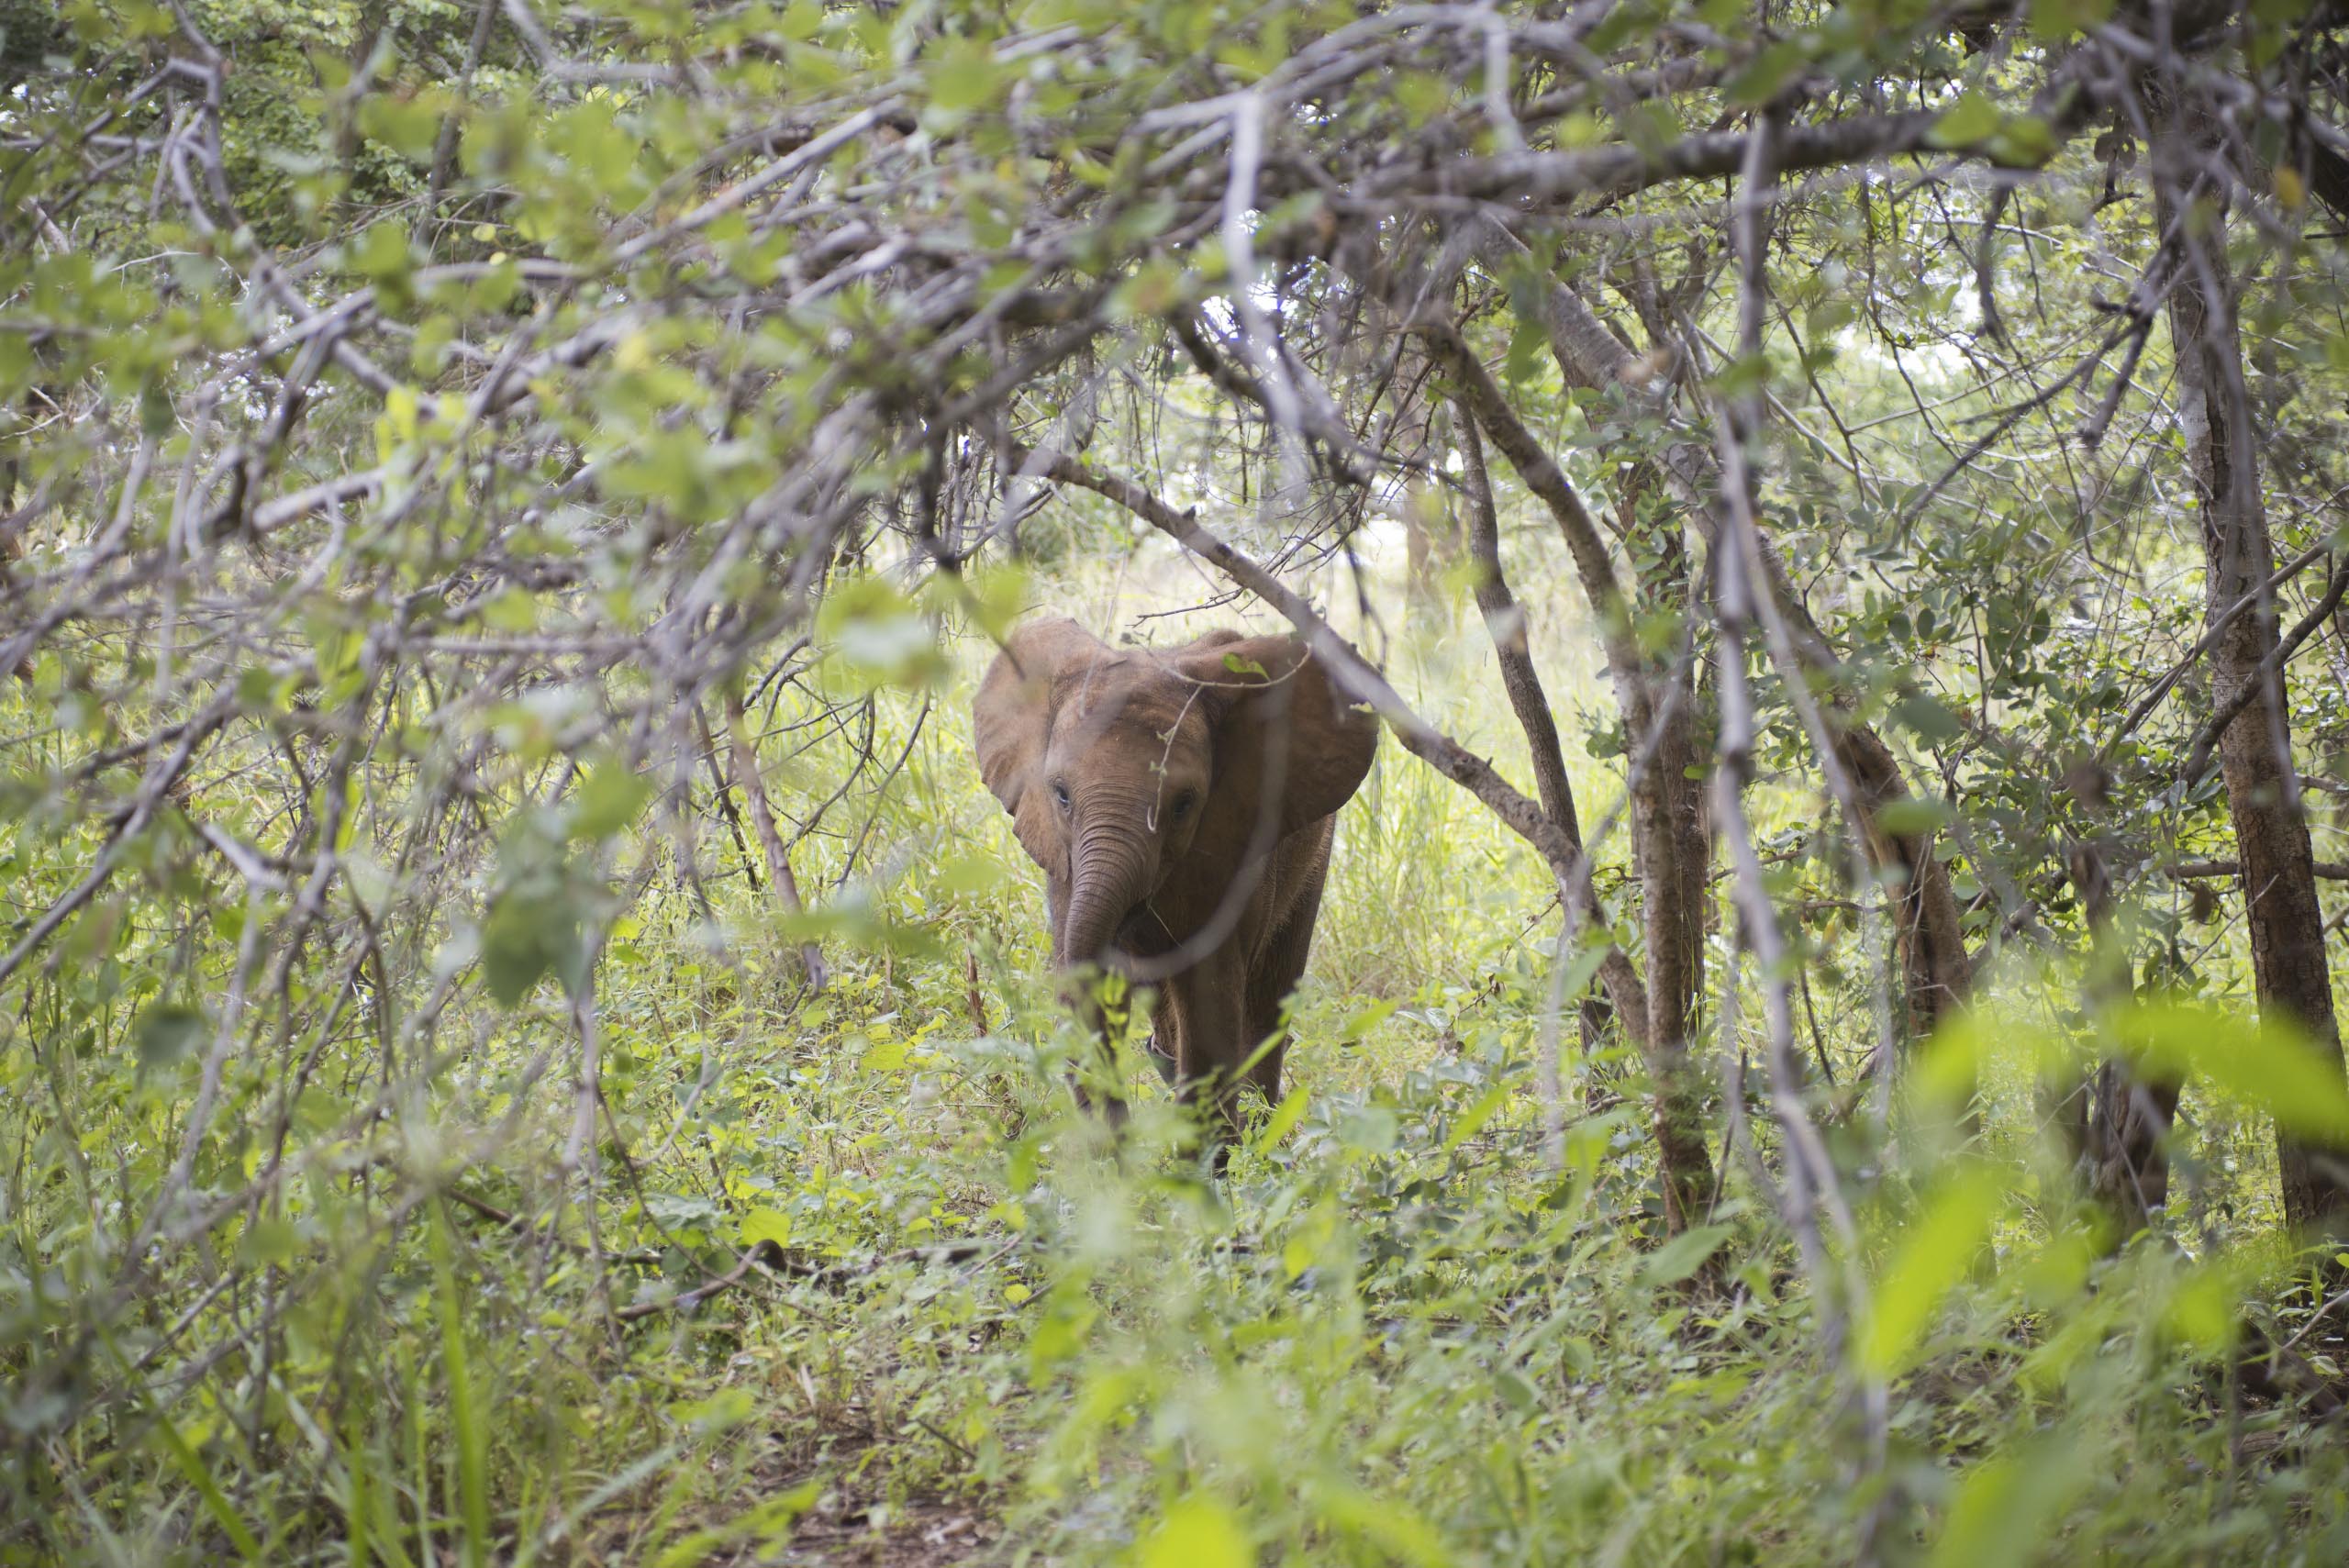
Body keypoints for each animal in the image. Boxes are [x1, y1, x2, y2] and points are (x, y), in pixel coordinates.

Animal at [972, 616, 1378, 1141]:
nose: (1122, 1144)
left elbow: (1208, 1005)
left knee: (1270, 996)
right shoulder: (1063, 867)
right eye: (1060, 795)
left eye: (1184, 804)